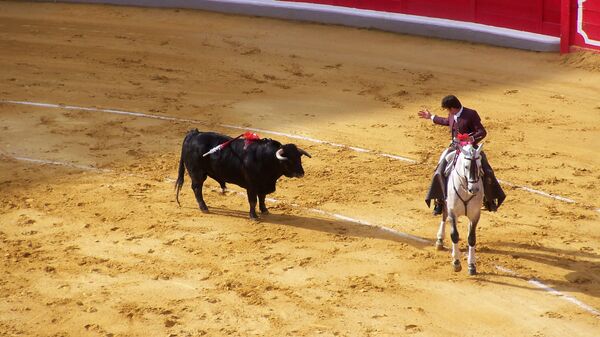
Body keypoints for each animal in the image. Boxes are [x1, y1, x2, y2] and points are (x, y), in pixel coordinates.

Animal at [175, 128, 310, 218]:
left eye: (299, 158)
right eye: (289, 160)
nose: (301, 173)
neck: (265, 158)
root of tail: (194, 134)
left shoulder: (263, 185)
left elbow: (262, 198)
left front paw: (264, 210)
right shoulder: (252, 185)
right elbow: (253, 200)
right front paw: (254, 216)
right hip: (197, 173)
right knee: (197, 188)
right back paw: (204, 207)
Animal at [434, 140, 486, 274]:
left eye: (479, 165)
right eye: (466, 166)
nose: (474, 189)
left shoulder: (475, 215)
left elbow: (472, 238)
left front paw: (472, 265)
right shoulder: (453, 212)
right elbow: (454, 235)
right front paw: (456, 262)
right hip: (445, 203)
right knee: (444, 215)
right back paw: (440, 240)